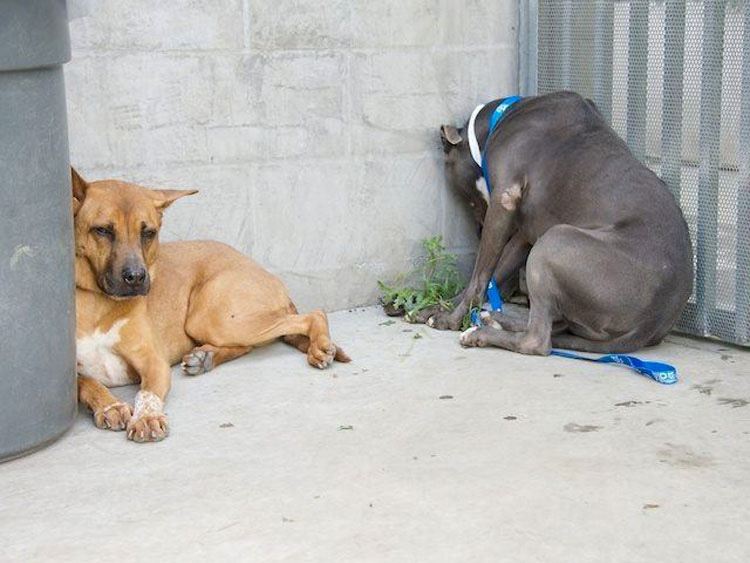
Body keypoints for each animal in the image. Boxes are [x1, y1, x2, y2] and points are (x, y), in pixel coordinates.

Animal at [72, 170, 352, 442]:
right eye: (102, 230)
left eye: (148, 233)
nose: (137, 278)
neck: (97, 301)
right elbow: (86, 383)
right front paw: (110, 405)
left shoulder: (154, 364)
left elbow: (146, 394)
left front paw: (147, 417)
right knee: (248, 345)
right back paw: (204, 357)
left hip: (214, 320)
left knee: (313, 314)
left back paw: (320, 345)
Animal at [414, 91, 696, 356]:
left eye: (469, 200)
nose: (477, 230)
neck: (501, 119)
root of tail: (649, 324)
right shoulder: (525, 231)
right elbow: (496, 268)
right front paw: (434, 308)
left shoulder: (504, 199)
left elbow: (480, 276)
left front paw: (450, 319)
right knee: (554, 325)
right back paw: (495, 318)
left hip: (555, 242)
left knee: (537, 339)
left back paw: (481, 332)